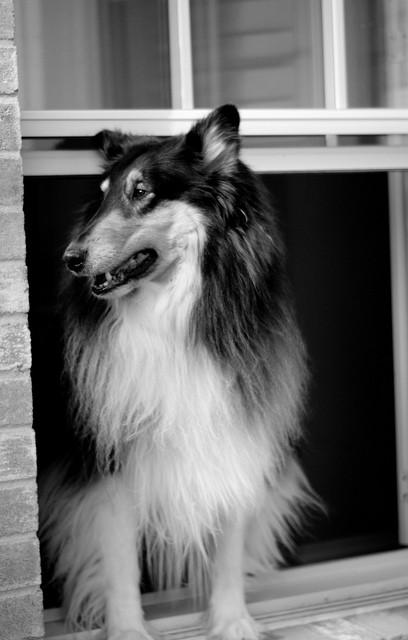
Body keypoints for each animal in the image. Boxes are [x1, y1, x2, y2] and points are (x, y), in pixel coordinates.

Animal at [40, 105, 316, 640]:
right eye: (101, 196)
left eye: (141, 191)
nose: (70, 260)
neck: (172, 316)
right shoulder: (109, 459)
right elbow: (119, 561)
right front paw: (127, 631)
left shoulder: (235, 432)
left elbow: (229, 546)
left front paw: (232, 623)